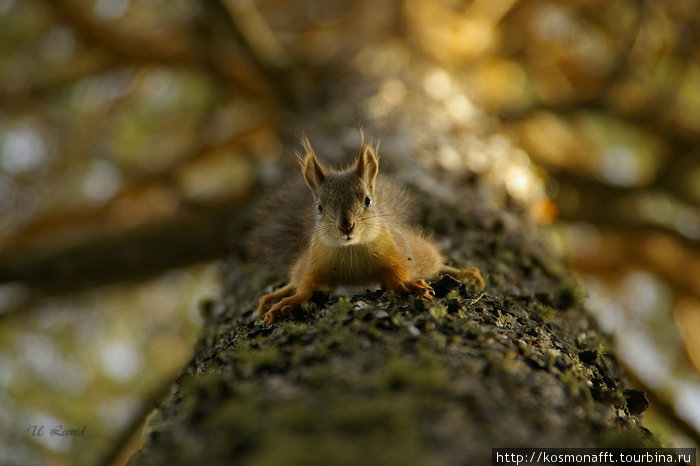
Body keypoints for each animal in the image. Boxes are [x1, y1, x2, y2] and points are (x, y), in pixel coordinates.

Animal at [254, 135, 484, 324]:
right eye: (319, 207)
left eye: (368, 200)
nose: (346, 226)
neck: (351, 249)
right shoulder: (315, 264)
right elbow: (304, 289)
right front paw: (286, 303)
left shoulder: (393, 255)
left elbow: (397, 276)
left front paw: (409, 285)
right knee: (295, 279)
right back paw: (270, 298)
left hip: (418, 251)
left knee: (435, 263)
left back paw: (465, 273)